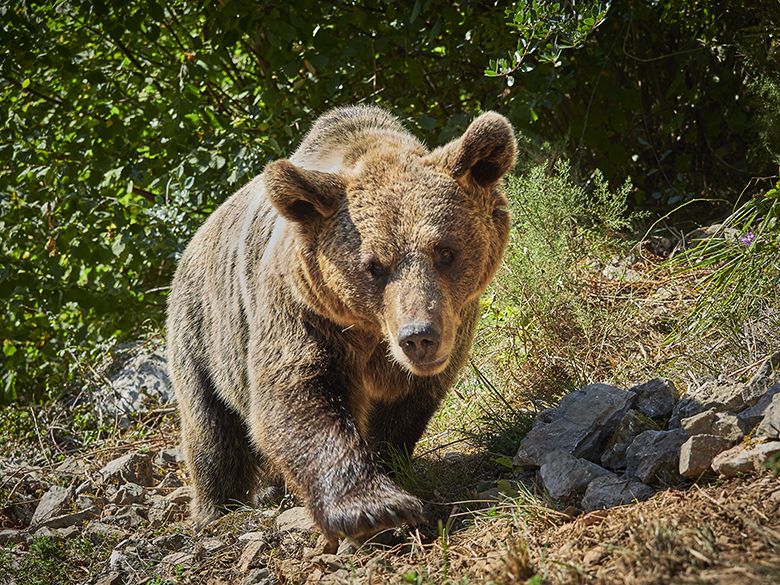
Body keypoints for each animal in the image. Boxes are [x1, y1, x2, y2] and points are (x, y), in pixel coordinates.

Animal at [166, 105, 516, 544]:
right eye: (374, 266)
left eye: (445, 251)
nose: (419, 337)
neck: (372, 332)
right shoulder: (304, 310)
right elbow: (296, 392)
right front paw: (375, 507)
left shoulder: (452, 326)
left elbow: (405, 408)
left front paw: (390, 466)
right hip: (203, 335)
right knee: (212, 429)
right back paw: (218, 508)